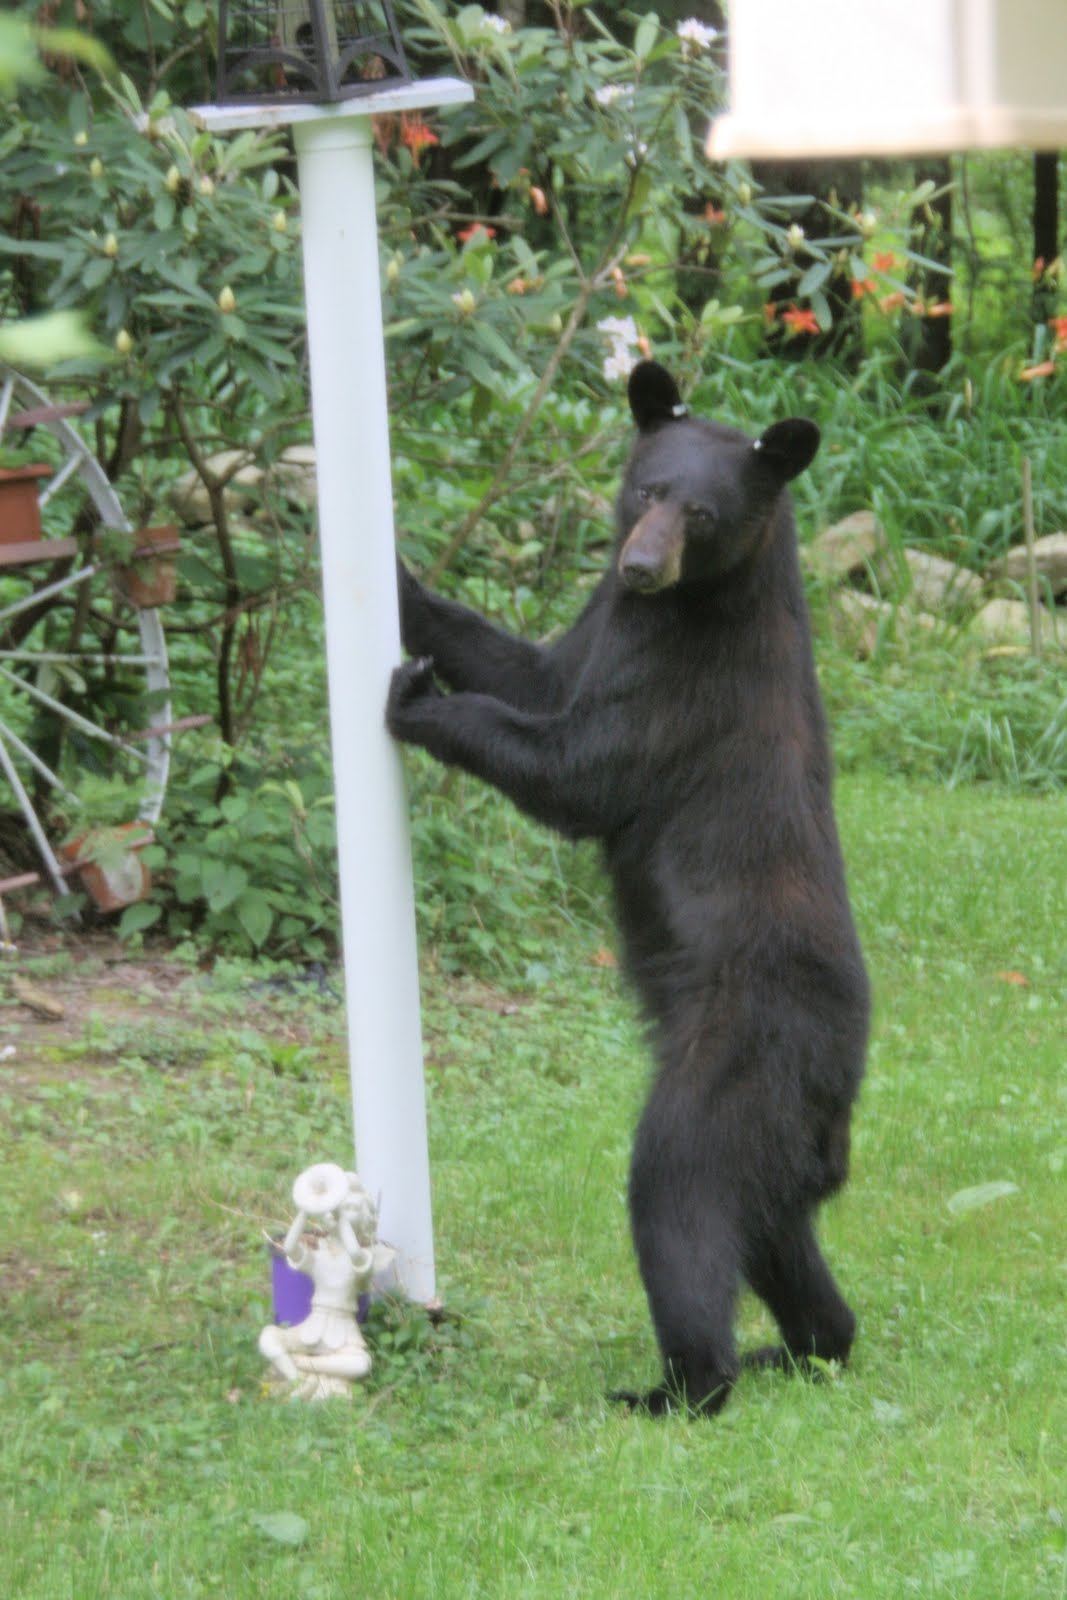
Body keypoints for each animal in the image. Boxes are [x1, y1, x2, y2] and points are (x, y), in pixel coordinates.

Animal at [386, 360, 870, 1416]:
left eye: (703, 512)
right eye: (646, 490)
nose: (640, 567)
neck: (677, 608)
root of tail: (837, 1096)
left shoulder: (686, 689)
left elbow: (574, 769)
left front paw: (421, 699)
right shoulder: (598, 630)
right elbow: (527, 667)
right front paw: (401, 584)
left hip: (732, 1068)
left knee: (678, 1197)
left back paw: (683, 1384)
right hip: (777, 1147)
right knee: (778, 1239)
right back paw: (806, 1346)